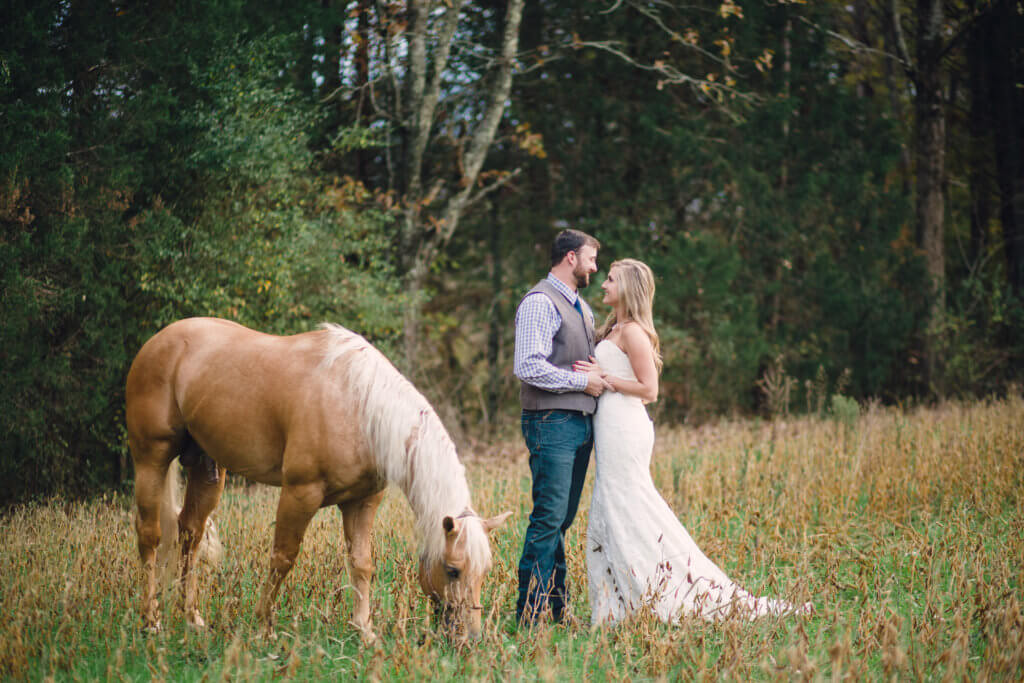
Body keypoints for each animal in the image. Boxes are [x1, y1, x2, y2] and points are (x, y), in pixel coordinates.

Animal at [128, 317, 512, 643]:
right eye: (452, 570)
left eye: (484, 571)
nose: (470, 637)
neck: (360, 405)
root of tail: (159, 341)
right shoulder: (300, 494)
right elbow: (282, 558)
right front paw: (263, 626)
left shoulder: (361, 502)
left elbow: (361, 563)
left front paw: (364, 631)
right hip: (151, 460)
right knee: (150, 536)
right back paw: (151, 621)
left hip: (207, 470)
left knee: (189, 535)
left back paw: (192, 619)